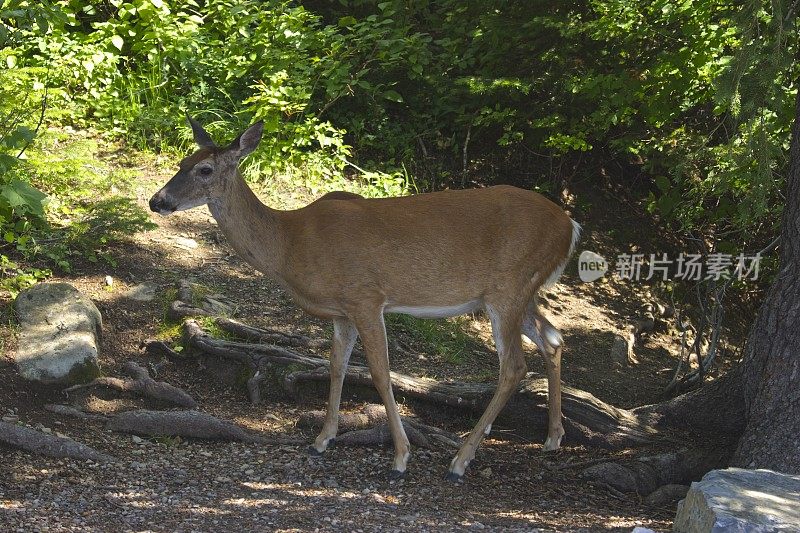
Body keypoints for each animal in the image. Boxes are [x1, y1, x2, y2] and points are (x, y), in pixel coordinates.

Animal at [147, 117, 580, 482]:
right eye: (183, 161)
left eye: (205, 170)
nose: (157, 201)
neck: (291, 244)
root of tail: (571, 226)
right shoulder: (342, 311)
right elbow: (336, 366)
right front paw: (322, 439)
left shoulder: (366, 297)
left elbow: (380, 373)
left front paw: (401, 457)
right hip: (520, 293)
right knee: (553, 337)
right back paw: (552, 438)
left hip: (509, 286)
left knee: (514, 366)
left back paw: (460, 459)